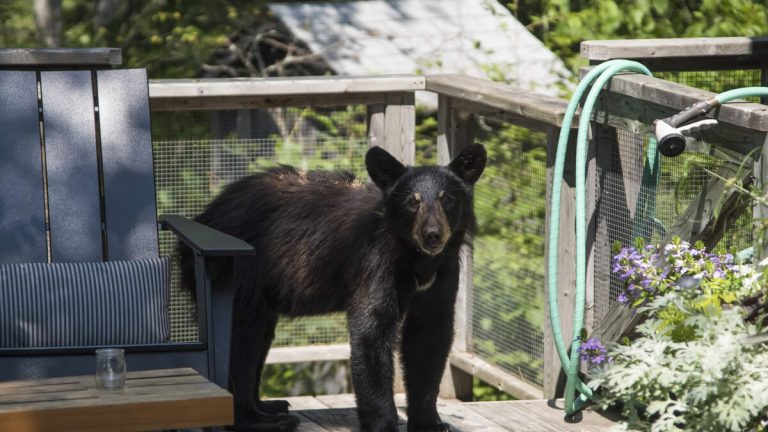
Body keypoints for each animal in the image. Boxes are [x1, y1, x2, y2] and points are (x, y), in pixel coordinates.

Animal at [178, 144, 486, 432]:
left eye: (448, 199)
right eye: (413, 201)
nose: (432, 235)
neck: (417, 258)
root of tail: (204, 216)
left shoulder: (443, 272)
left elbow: (430, 337)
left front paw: (429, 421)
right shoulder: (375, 262)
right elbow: (371, 332)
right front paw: (383, 423)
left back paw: (269, 406)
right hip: (239, 273)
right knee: (241, 341)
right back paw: (258, 419)